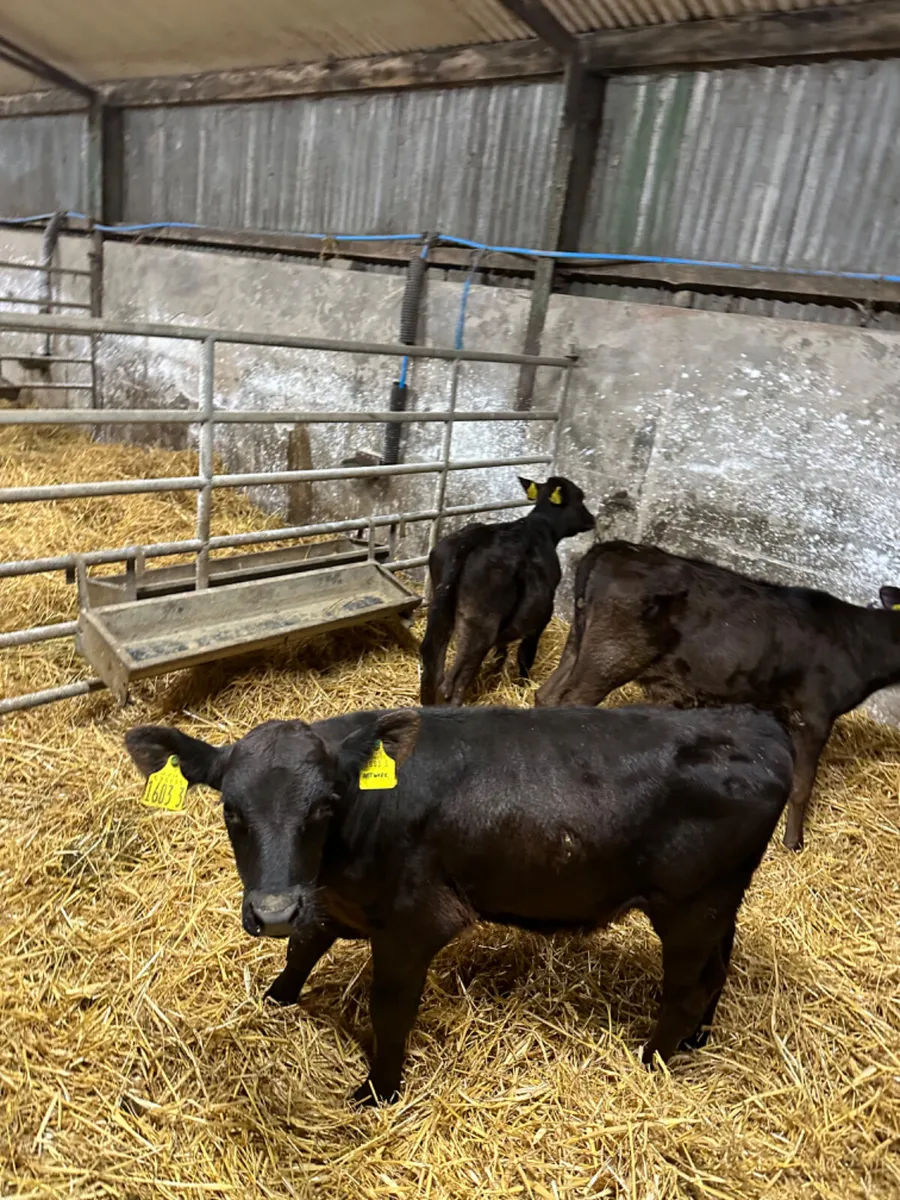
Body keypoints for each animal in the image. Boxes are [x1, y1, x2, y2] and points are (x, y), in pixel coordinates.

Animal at [125, 702, 793, 1105]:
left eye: (325, 805)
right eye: (230, 809)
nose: (271, 911)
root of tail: (761, 729)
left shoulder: (412, 922)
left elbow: (390, 1010)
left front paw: (378, 1093)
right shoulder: (328, 900)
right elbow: (303, 949)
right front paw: (276, 999)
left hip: (688, 905)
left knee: (684, 988)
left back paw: (651, 1060)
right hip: (719, 903)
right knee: (718, 968)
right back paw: (697, 1040)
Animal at [419, 475, 595, 706]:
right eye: (580, 497)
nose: (592, 519)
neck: (541, 526)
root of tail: (475, 538)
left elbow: (501, 651)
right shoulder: (540, 621)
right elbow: (526, 655)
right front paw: (523, 684)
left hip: (441, 611)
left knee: (432, 658)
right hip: (479, 625)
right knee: (454, 680)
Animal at [536, 540, 900, 850]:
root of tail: (615, 548)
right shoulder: (814, 714)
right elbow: (801, 786)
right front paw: (792, 843)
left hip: (578, 643)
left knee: (546, 695)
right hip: (610, 657)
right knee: (570, 706)